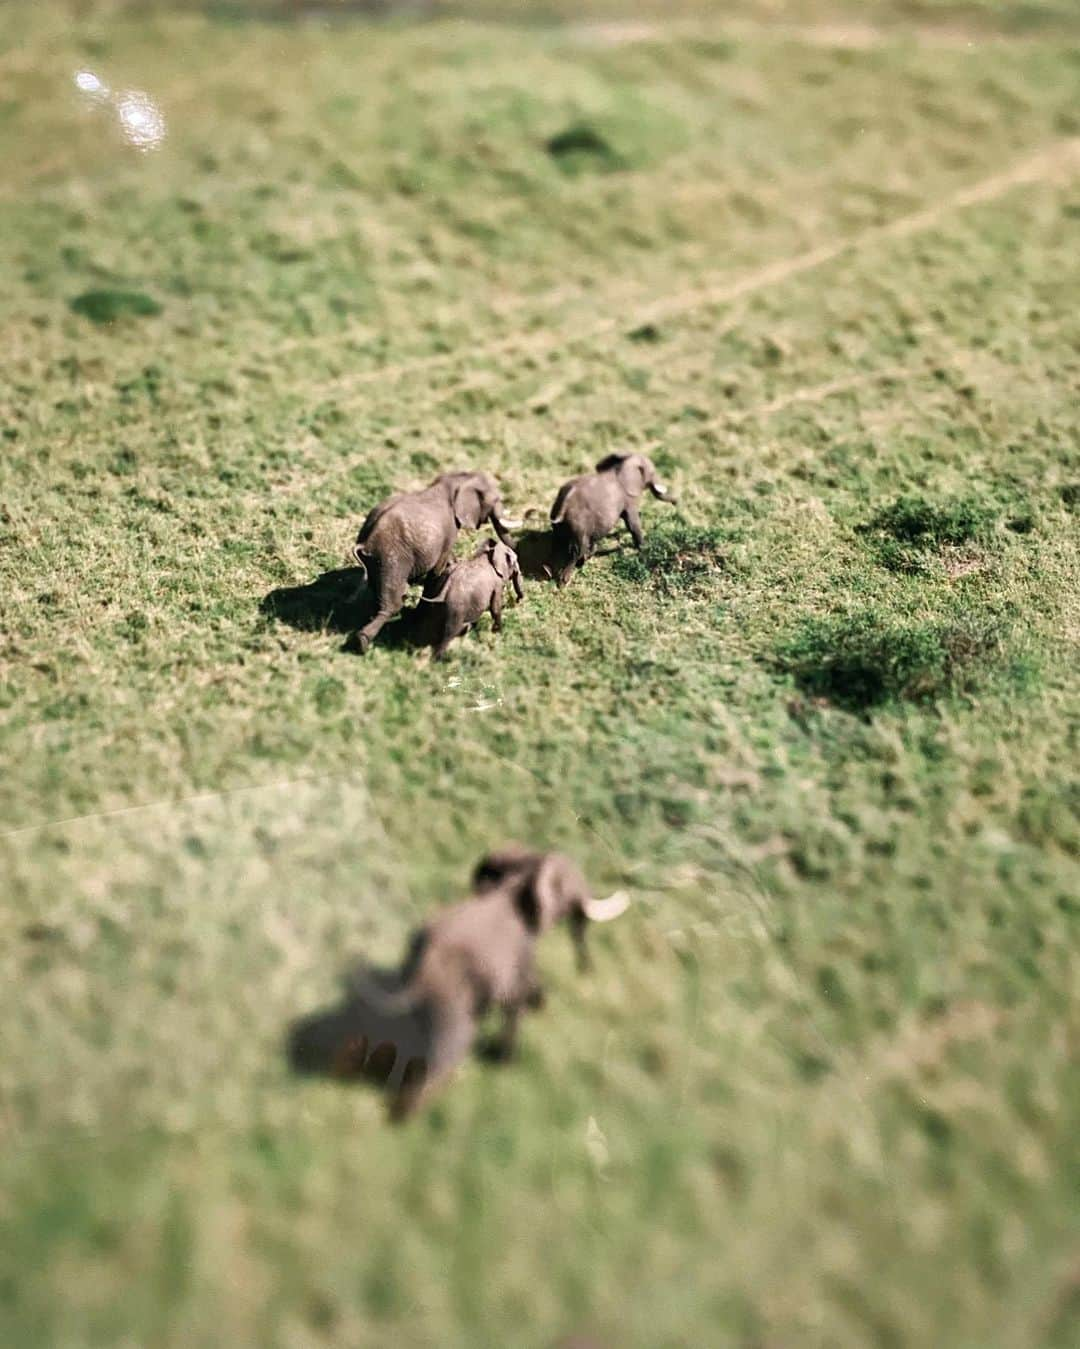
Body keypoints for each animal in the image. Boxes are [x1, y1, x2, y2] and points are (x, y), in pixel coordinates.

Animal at [295, 847, 628, 1122]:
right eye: (571, 884)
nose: (586, 971)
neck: (515, 882)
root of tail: (421, 967)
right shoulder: (516, 956)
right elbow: (514, 999)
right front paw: (506, 1061)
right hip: (450, 1005)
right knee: (444, 1055)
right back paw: (412, 1112)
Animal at [547, 453, 674, 585]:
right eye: (653, 473)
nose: (676, 503)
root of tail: (564, 506)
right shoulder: (629, 499)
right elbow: (633, 524)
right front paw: (644, 549)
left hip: (561, 524)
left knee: (558, 543)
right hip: (578, 525)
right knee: (577, 550)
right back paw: (564, 582)